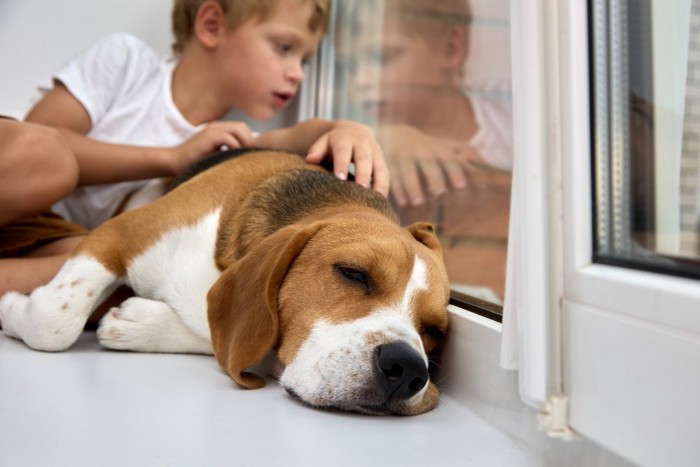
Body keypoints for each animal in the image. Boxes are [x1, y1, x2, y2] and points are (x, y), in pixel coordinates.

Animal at [0, 149, 448, 416]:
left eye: (435, 330)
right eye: (353, 273)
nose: (407, 369)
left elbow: (218, 336)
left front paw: (137, 323)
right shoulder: (120, 233)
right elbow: (53, 322)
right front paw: (11, 306)